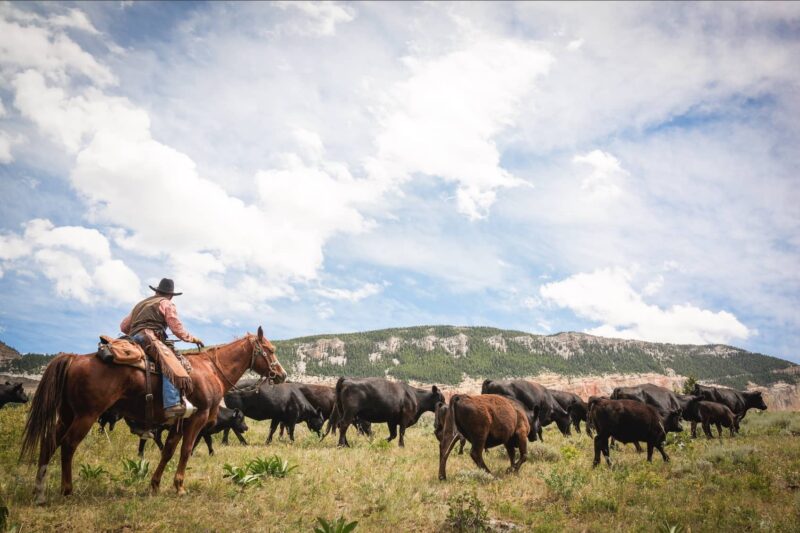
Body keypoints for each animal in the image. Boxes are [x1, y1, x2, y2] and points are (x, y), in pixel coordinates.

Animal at [17, 324, 288, 502]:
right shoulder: (196, 419)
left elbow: (167, 451)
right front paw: (179, 487)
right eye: (270, 349)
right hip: (86, 415)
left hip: (67, 414)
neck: (210, 369)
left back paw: (39, 491)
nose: (282, 374)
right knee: (68, 444)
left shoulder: (178, 423)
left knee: (49, 441)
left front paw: (155, 485)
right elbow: (186, 451)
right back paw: (67, 489)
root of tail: (74, 358)